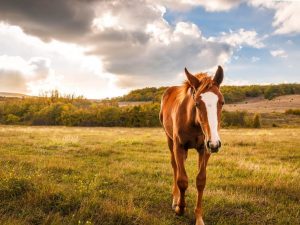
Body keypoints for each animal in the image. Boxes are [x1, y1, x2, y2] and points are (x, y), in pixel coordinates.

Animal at [161, 66, 224, 225]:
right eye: (197, 103)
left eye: (222, 102)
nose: (215, 144)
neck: (193, 122)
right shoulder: (178, 146)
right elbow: (182, 180)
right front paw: (180, 208)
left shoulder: (205, 149)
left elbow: (201, 181)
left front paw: (199, 218)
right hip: (170, 141)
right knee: (175, 167)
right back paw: (175, 199)